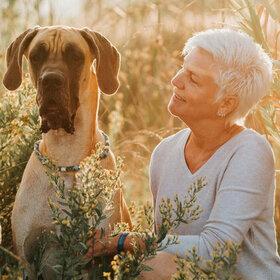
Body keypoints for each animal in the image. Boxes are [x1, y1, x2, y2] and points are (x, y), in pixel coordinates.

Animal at [2, 25, 131, 278]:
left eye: (75, 56)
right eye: (36, 56)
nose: (50, 80)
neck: (67, 159)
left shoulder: (101, 256)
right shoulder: (27, 260)